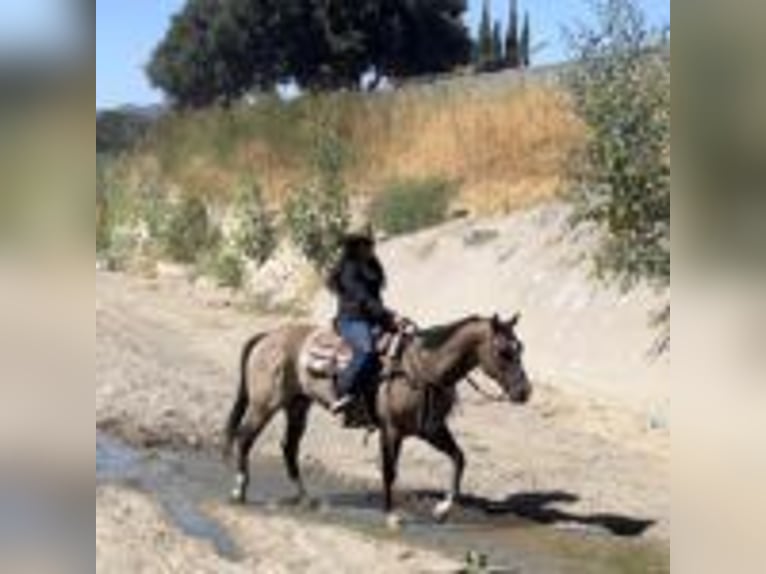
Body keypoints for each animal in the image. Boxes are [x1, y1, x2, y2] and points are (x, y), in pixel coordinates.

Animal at [225, 316, 532, 528]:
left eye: (520, 348)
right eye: (504, 352)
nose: (524, 392)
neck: (421, 368)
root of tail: (267, 336)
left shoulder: (430, 430)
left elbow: (459, 458)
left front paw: (442, 510)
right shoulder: (391, 431)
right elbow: (389, 472)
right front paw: (392, 516)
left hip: (297, 406)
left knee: (289, 447)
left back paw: (305, 497)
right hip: (264, 405)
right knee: (245, 437)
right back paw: (239, 490)